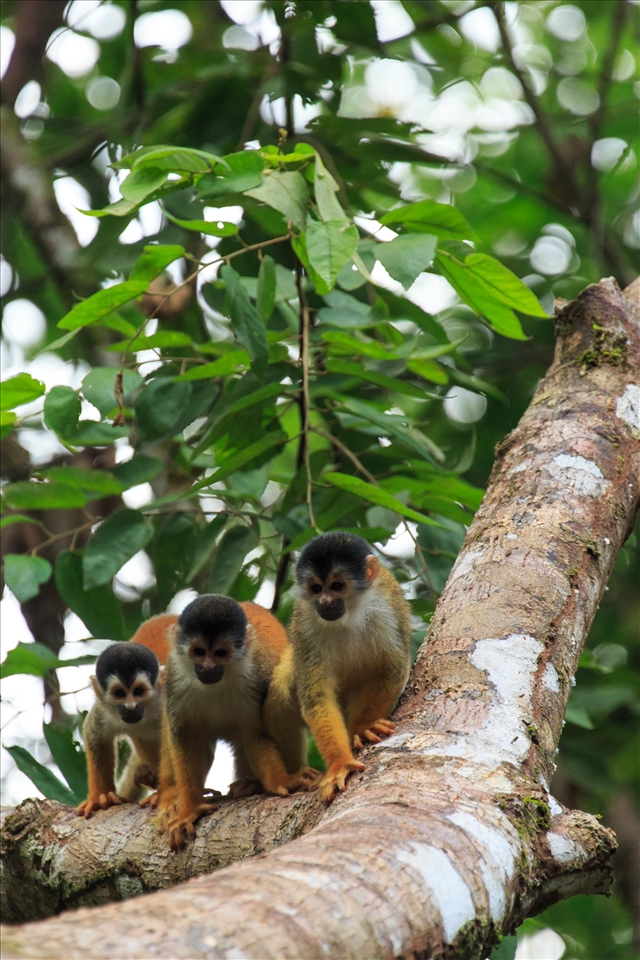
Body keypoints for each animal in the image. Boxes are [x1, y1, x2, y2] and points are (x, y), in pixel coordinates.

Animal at [154, 595, 318, 850]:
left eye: (220, 653)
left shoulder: (256, 678)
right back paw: (169, 794)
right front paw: (189, 808)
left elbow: (256, 734)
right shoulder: (175, 680)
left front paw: (281, 781)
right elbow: (183, 737)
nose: (208, 667)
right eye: (199, 652)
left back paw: (252, 784)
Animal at [286, 531, 412, 804]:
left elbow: (394, 666)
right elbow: (317, 697)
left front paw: (363, 727)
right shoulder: (306, 624)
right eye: (316, 588)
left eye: (336, 586)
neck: (349, 614)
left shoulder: (385, 608)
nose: (325, 602)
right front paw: (339, 764)